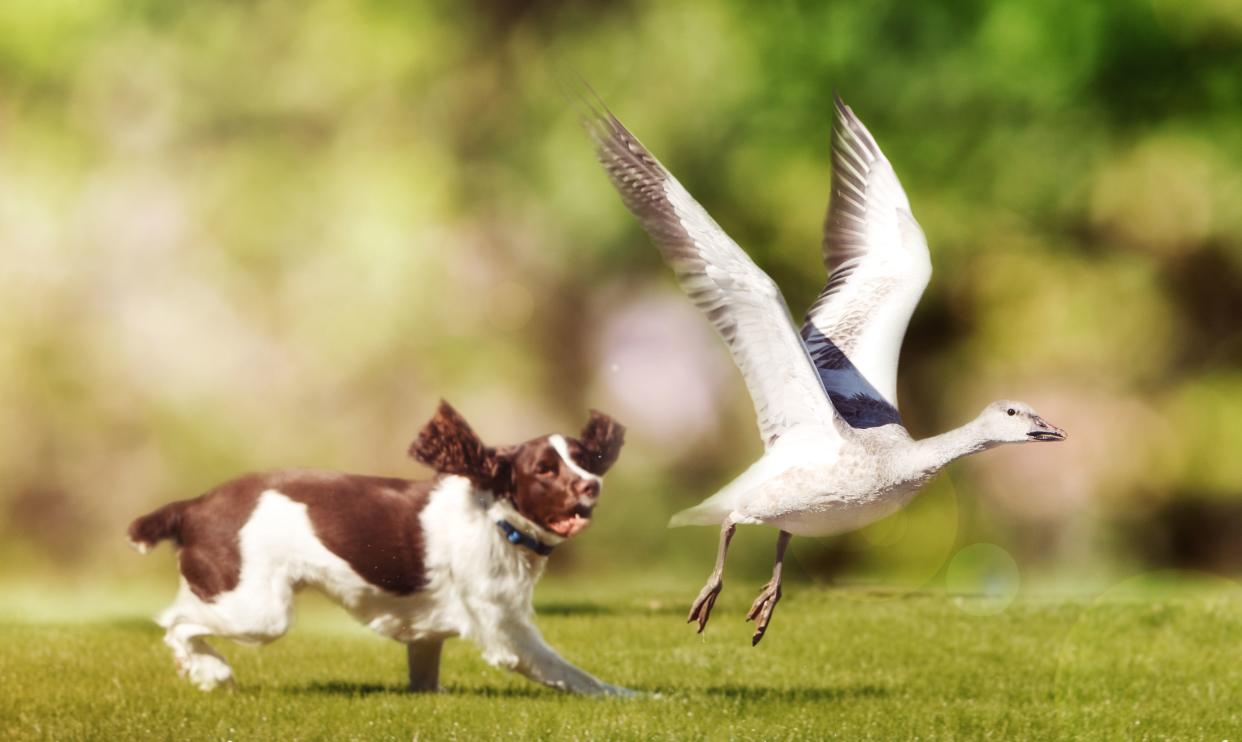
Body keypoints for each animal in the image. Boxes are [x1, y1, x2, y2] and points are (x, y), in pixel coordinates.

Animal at [128, 400, 630, 696]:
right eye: (545, 469)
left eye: (584, 459)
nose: (592, 485)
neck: (495, 516)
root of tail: (194, 505)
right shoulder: (504, 630)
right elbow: (573, 673)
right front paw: (633, 697)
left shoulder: (428, 631)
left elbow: (426, 676)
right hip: (258, 611)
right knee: (176, 622)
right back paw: (210, 671)